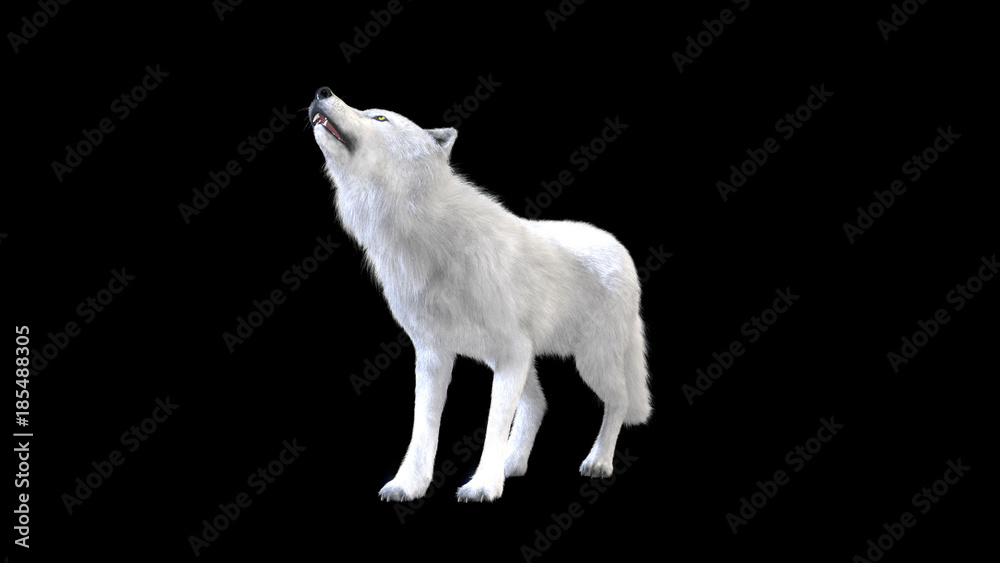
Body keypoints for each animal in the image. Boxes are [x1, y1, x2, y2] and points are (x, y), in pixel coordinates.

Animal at [309, 87, 651, 502]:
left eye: (380, 118)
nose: (322, 92)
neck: (421, 235)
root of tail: (620, 248)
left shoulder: (511, 352)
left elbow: (492, 425)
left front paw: (483, 486)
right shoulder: (434, 354)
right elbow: (423, 428)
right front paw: (409, 485)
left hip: (589, 361)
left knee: (618, 401)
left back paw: (598, 462)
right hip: (519, 358)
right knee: (540, 403)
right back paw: (512, 465)